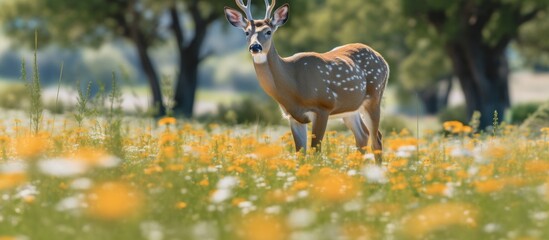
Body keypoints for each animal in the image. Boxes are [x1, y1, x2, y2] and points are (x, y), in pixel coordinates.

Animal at [224, 0, 390, 164]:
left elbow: (316, 152)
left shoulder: (323, 107)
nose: (255, 47)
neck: (293, 87)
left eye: (268, 31)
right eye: (246, 32)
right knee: (363, 135)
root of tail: (383, 60)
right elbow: (300, 154)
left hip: (374, 97)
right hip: (350, 109)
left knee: (377, 139)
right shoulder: (293, 116)